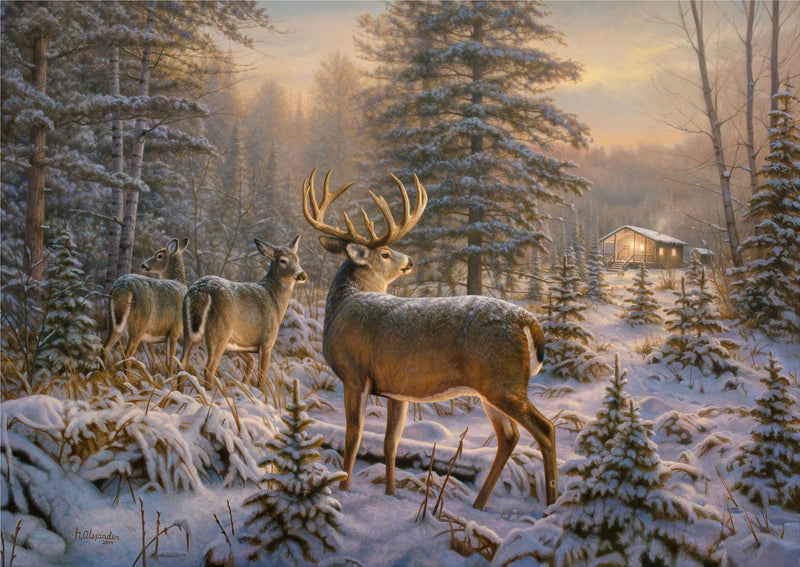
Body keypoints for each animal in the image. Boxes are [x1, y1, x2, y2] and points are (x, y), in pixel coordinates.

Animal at [102, 237, 189, 375]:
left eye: (159, 255)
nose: (143, 265)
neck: (178, 281)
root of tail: (122, 288)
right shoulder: (174, 330)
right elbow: (169, 364)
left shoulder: (149, 337)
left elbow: (154, 363)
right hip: (138, 323)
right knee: (127, 356)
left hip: (114, 323)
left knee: (105, 349)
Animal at [179, 236, 307, 393]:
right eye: (283, 260)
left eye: (297, 259)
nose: (302, 275)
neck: (274, 300)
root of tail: (201, 291)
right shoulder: (267, 342)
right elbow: (261, 377)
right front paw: (260, 394)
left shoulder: (237, 343)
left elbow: (251, 362)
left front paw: (244, 386)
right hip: (219, 332)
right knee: (208, 369)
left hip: (189, 331)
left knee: (182, 363)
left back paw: (179, 390)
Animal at [301, 169, 557, 510]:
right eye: (385, 253)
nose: (409, 260)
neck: (343, 305)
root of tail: (528, 321)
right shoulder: (394, 388)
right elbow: (390, 443)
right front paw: (390, 494)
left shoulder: (354, 374)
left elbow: (353, 438)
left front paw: (343, 489)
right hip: (491, 390)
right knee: (510, 436)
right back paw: (479, 504)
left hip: (504, 383)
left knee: (545, 429)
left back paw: (551, 505)